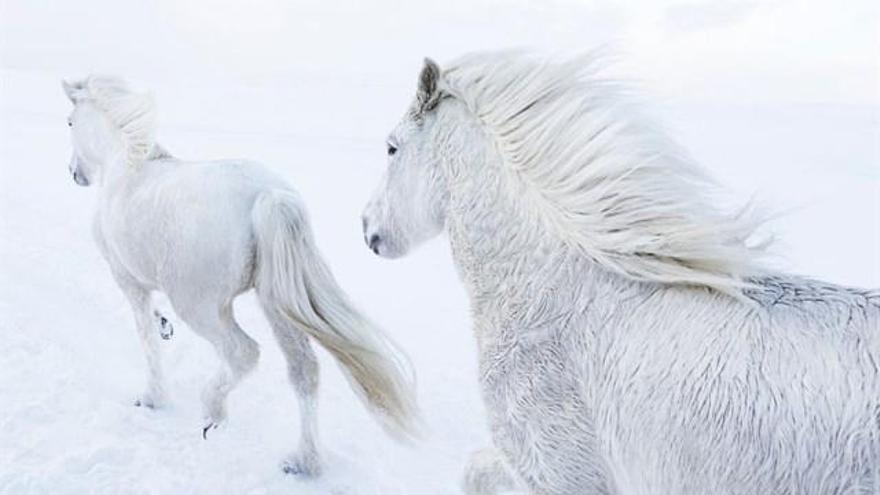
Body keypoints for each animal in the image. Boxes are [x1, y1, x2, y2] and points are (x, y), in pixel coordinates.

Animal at [63, 74, 418, 476]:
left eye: (70, 122)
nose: (74, 173)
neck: (126, 168)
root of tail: (270, 197)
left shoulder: (127, 280)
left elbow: (146, 339)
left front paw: (152, 398)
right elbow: (154, 327)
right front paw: (164, 325)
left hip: (202, 307)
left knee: (243, 352)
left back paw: (212, 412)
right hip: (277, 303)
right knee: (304, 371)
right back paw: (303, 461)